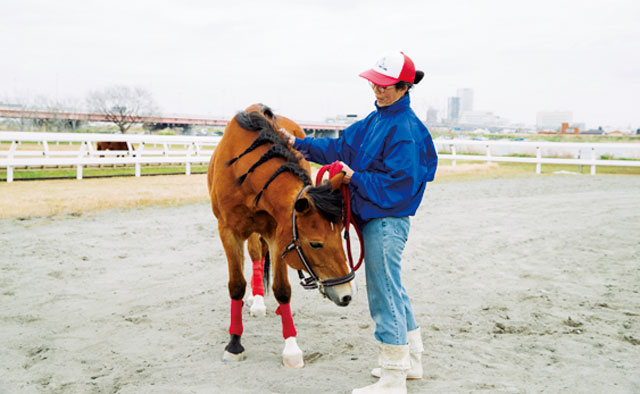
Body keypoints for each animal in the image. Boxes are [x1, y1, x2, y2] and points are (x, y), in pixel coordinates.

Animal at [206, 103, 352, 368]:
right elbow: (236, 286)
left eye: (342, 237)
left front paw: (291, 349)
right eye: (315, 244)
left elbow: (282, 289)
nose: (346, 295)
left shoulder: (278, 233)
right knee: (256, 256)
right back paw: (256, 301)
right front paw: (234, 344)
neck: (244, 171)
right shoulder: (228, 231)